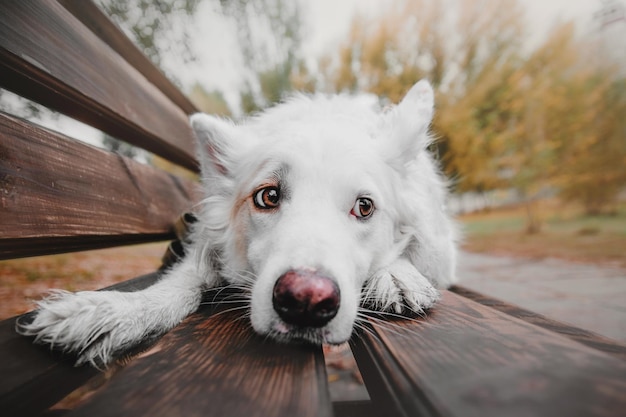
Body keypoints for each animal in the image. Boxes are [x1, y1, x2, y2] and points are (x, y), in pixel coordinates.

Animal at [17, 79, 456, 366]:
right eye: (268, 197)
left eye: (364, 207)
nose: (306, 301)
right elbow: (180, 284)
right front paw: (116, 311)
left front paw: (398, 274)